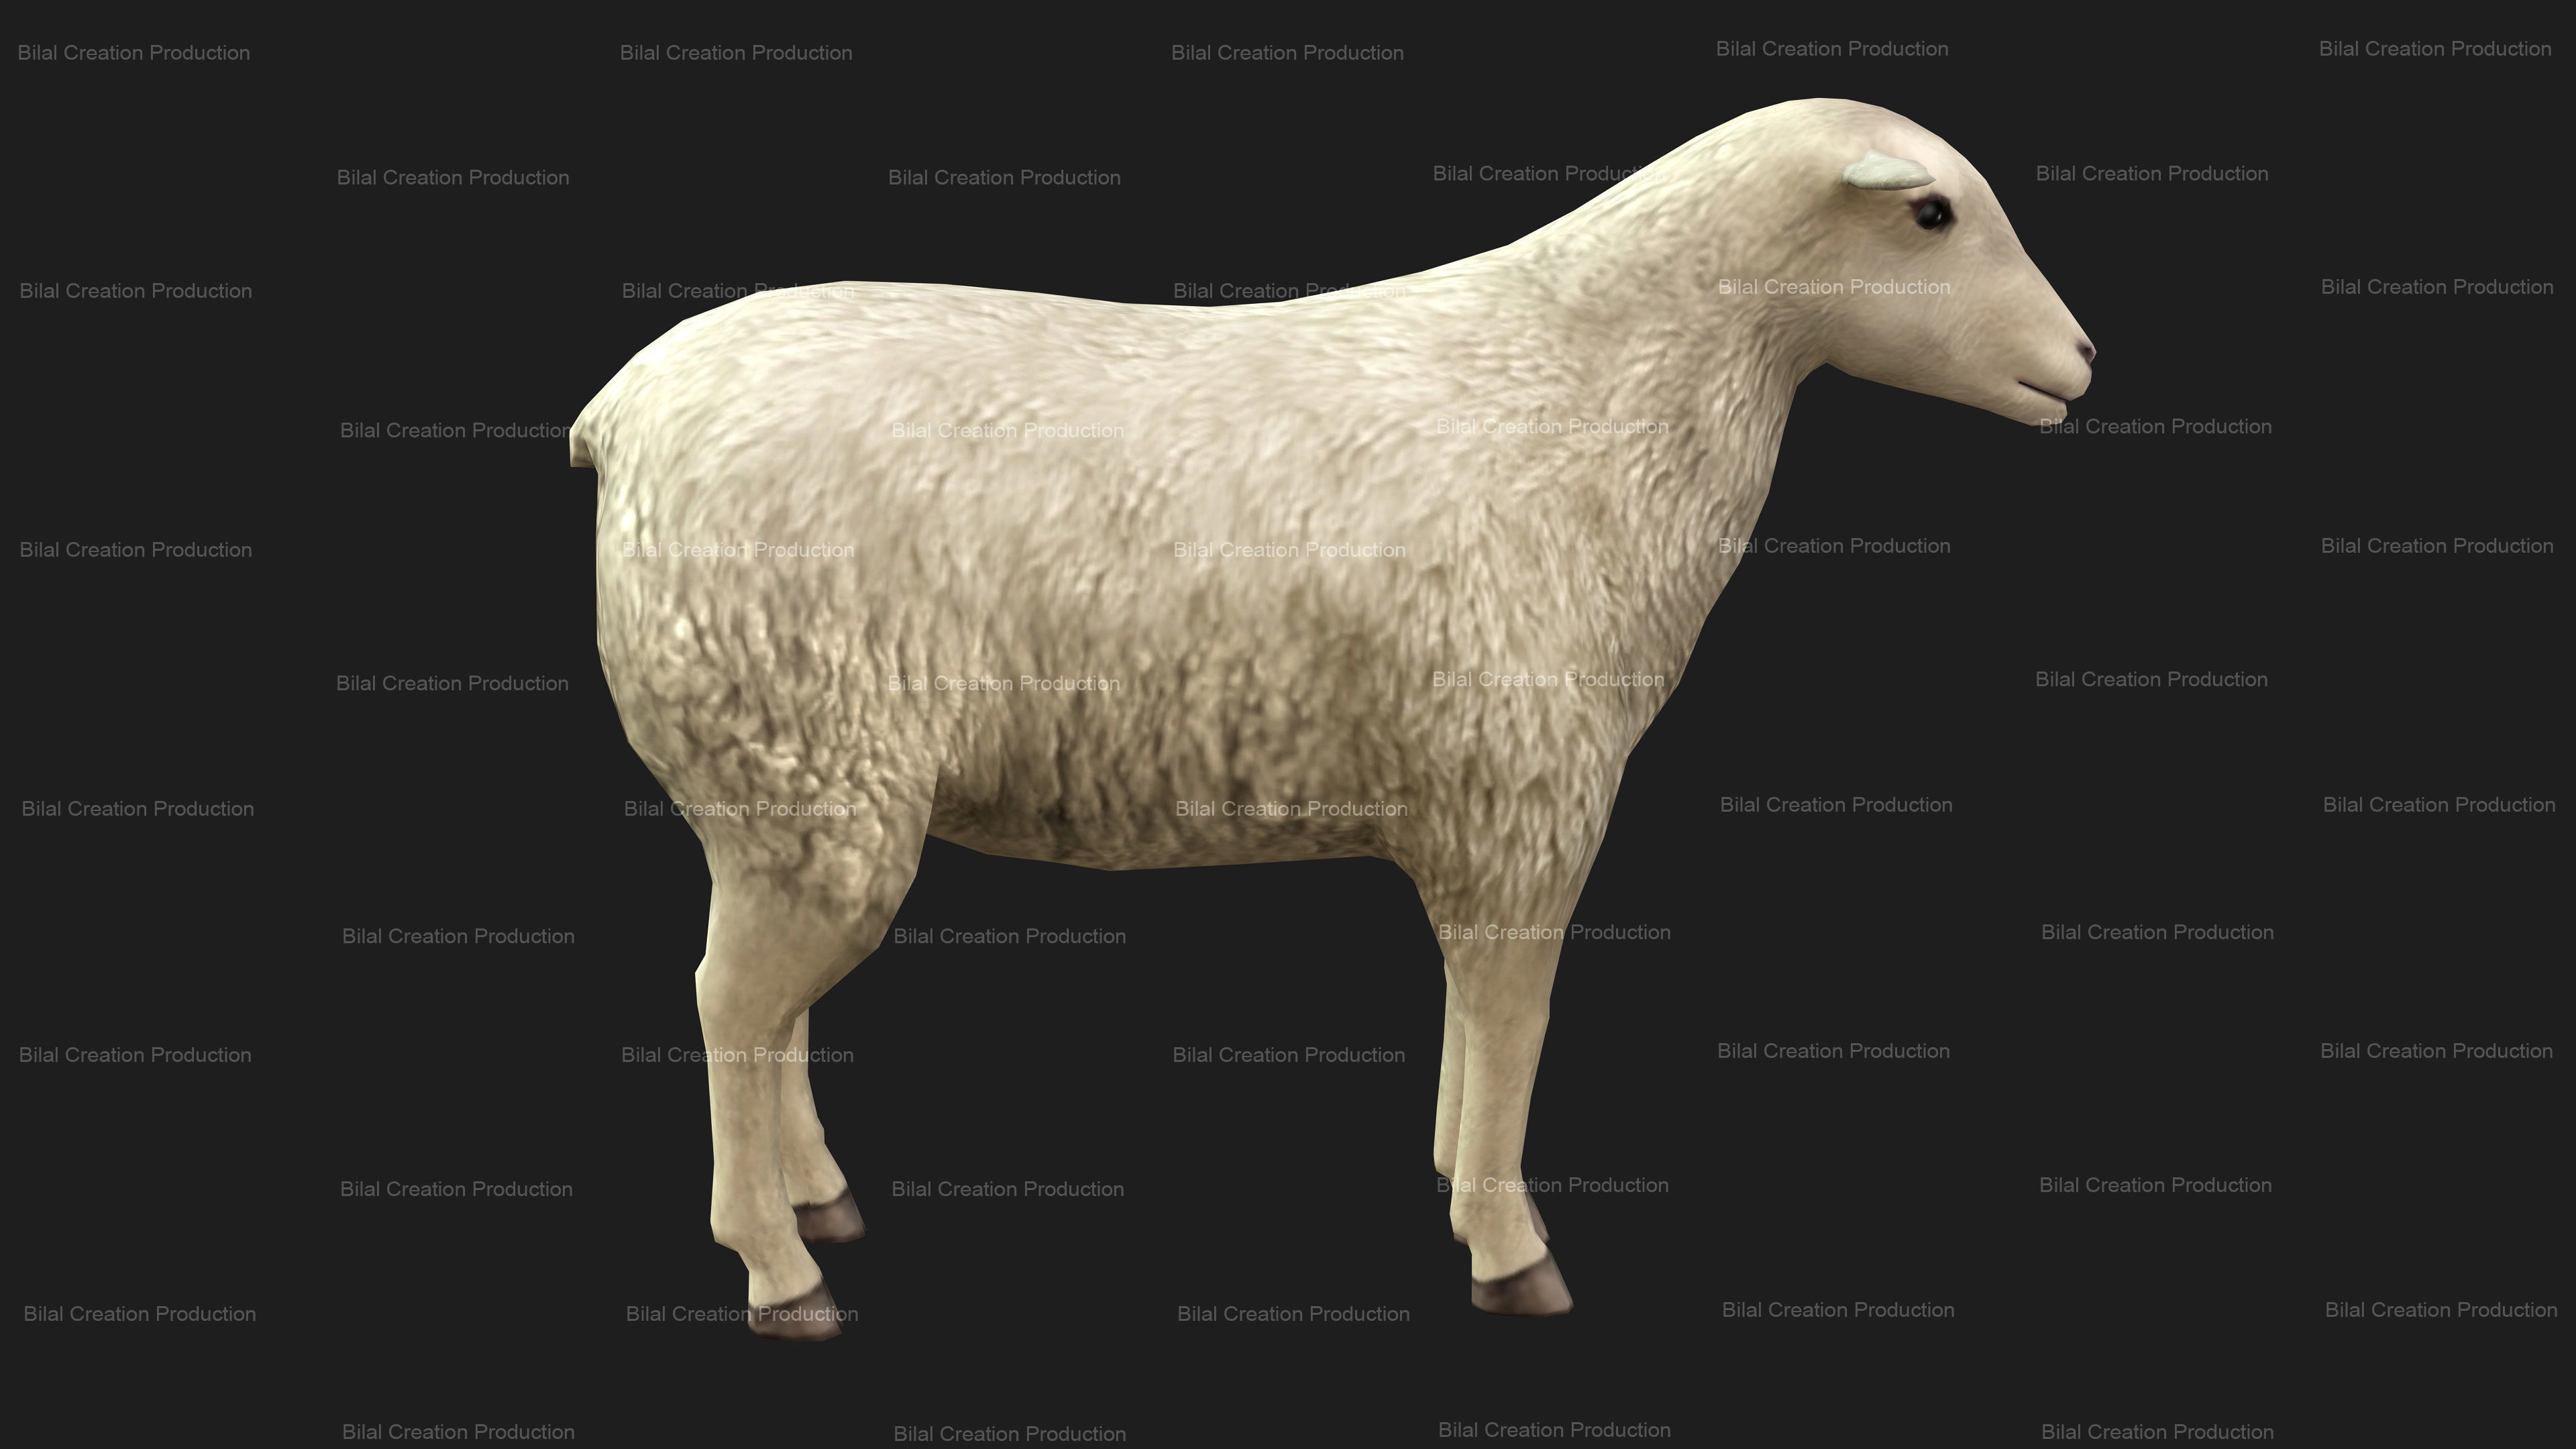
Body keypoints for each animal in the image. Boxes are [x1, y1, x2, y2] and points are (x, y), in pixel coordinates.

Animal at [572, 97, 2093, 1337]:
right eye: (1933, 214)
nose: (2079, 362)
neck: (1595, 391)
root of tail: (625, 412)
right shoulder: (1525, 799)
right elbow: (1519, 1016)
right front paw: (1510, 1249)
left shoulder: (1477, 811)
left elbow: (1476, 1017)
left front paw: (1454, 1176)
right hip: (805, 754)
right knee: (730, 1000)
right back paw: (779, 1270)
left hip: (791, 790)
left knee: (767, 1007)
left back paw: (817, 1197)